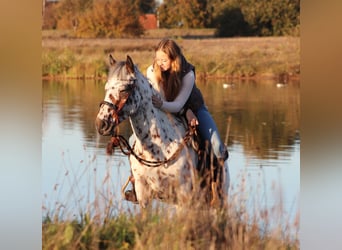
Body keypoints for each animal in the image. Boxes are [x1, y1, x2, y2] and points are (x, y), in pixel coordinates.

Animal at [95, 55, 228, 209]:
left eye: (124, 89)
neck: (160, 149)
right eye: (106, 88)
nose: (101, 124)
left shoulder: (183, 195)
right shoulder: (143, 194)